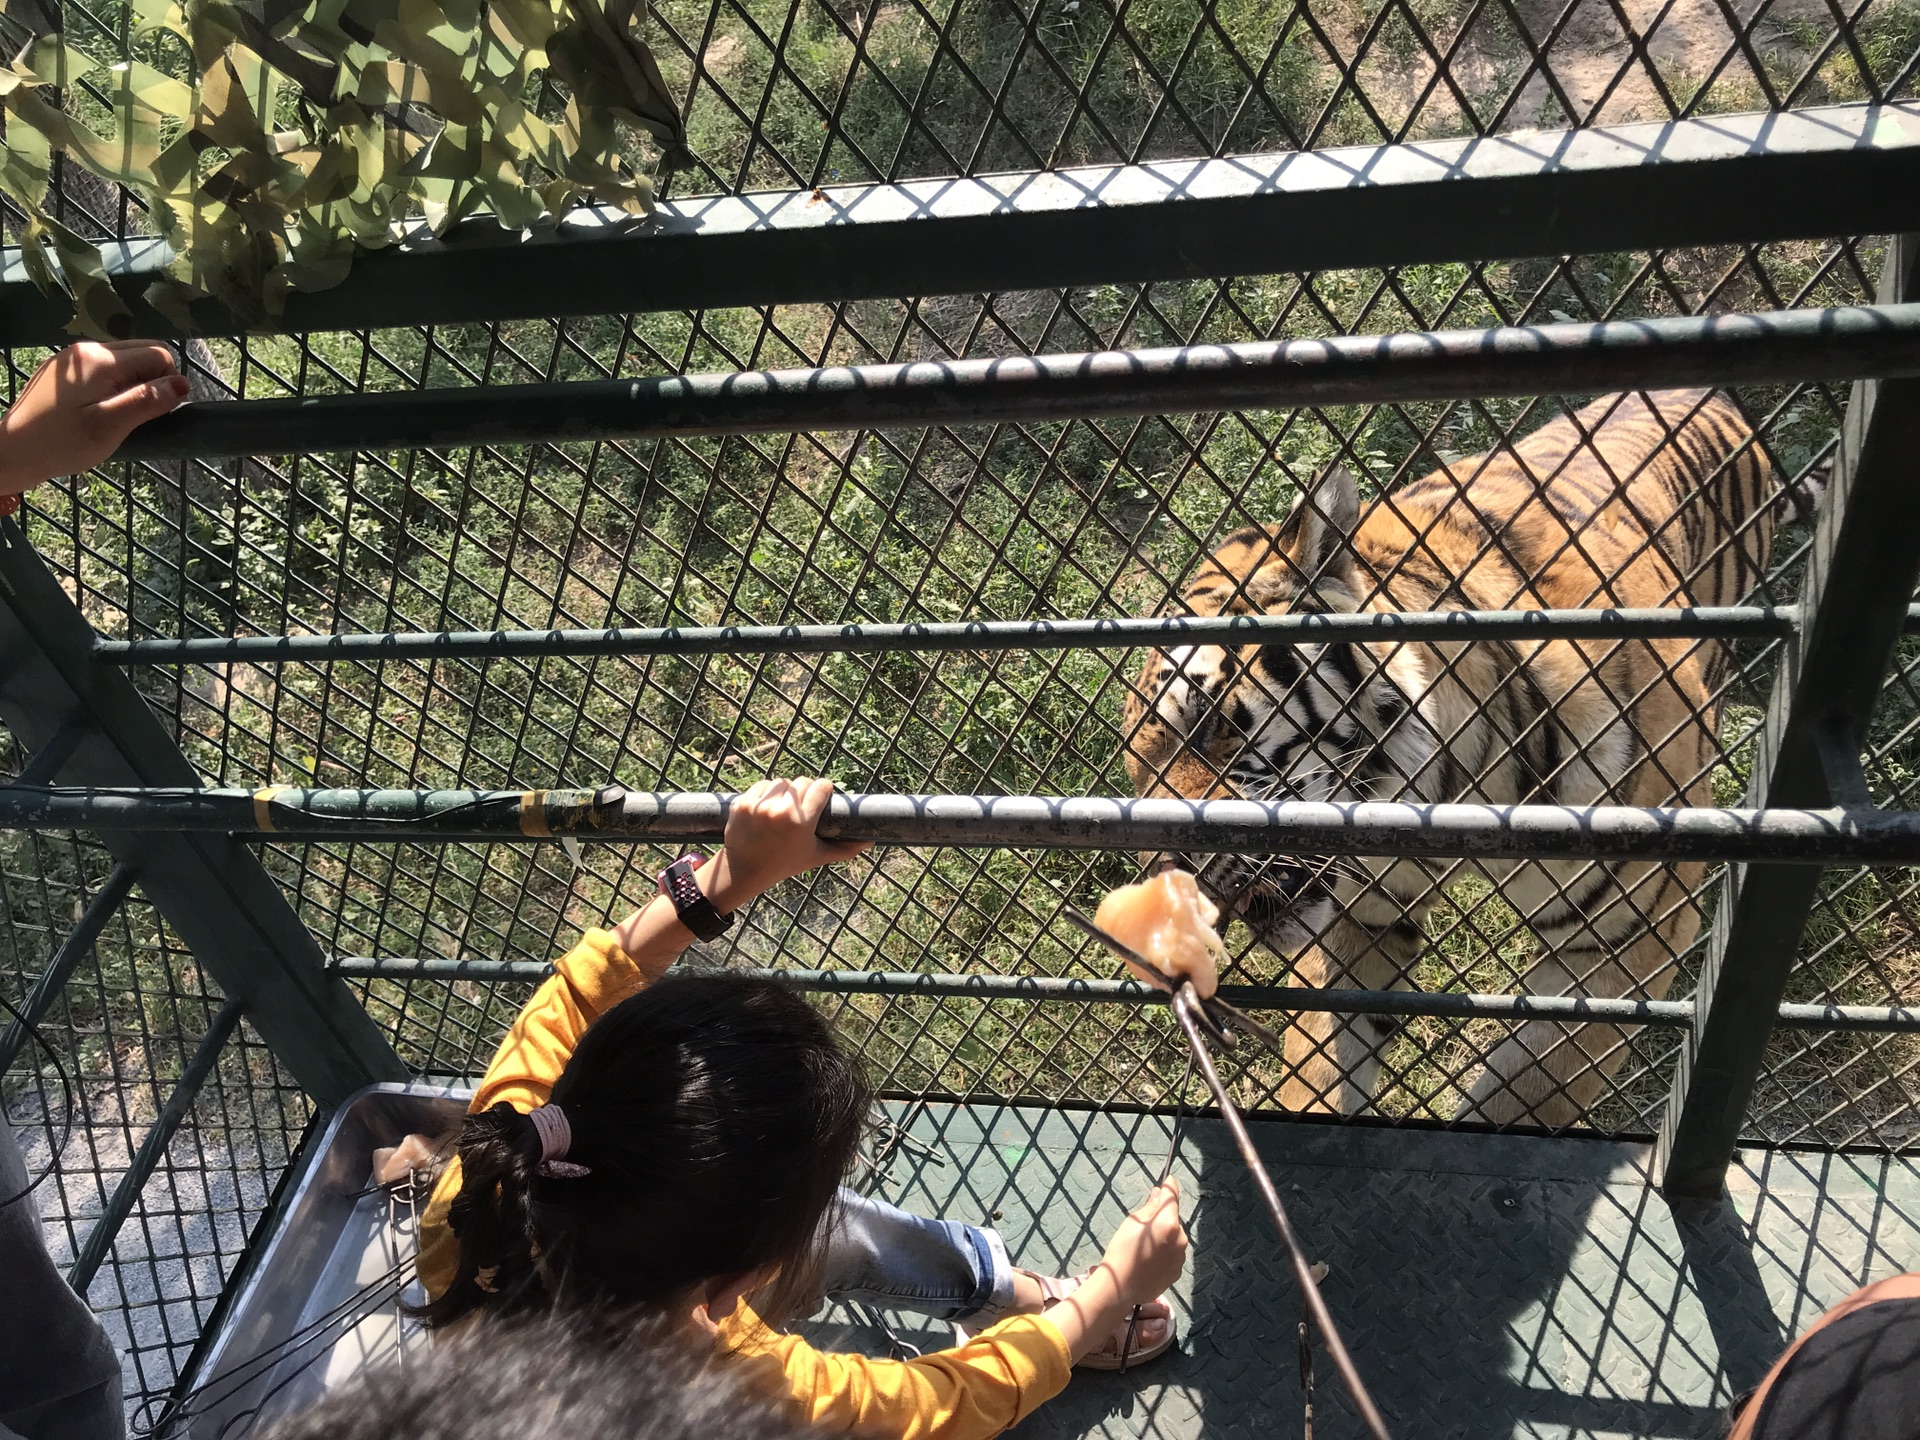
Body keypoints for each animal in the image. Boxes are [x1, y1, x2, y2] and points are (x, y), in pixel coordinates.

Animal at [1121, 391, 1781, 1128]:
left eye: (1205, 722)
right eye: (1131, 767)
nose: (1163, 879)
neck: (1451, 786)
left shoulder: (1622, 938)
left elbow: (1529, 1095)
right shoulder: (1363, 918)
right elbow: (1322, 1070)